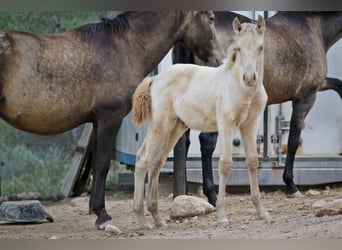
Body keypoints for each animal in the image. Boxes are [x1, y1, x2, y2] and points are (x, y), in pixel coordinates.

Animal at [0, 10, 222, 231]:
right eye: (211, 18)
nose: (220, 59)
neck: (123, 49)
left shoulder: (98, 122)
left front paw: (96, 211)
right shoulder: (110, 118)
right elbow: (103, 164)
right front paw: (103, 216)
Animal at [132, 16, 272, 230]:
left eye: (261, 47)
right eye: (238, 48)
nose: (249, 78)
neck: (243, 90)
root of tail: (154, 79)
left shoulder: (250, 124)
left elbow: (253, 162)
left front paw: (262, 212)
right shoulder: (226, 124)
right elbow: (225, 164)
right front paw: (222, 215)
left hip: (175, 128)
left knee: (156, 162)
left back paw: (157, 218)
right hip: (160, 125)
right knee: (142, 159)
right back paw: (142, 219)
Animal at [175, 10, 342, 206]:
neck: (314, 26)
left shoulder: (318, 85)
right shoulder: (306, 97)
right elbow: (293, 141)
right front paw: (291, 185)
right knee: (206, 142)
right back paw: (212, 195)